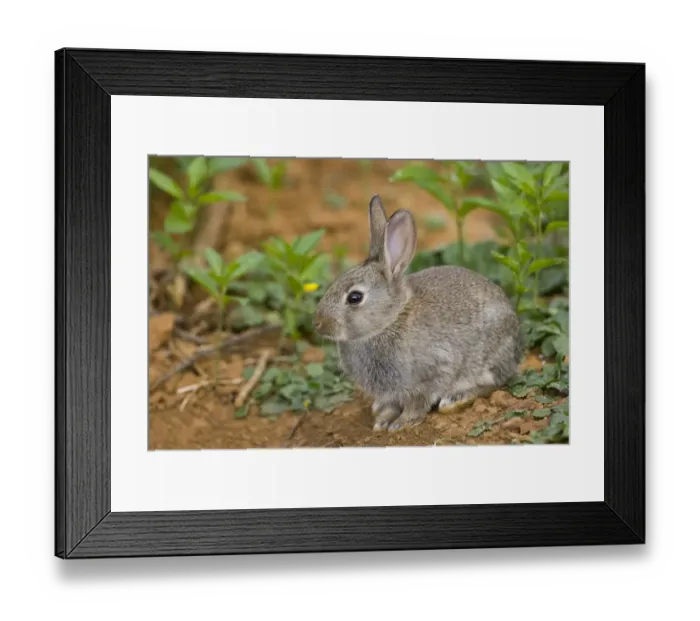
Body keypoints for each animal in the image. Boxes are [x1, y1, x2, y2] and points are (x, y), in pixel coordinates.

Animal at [313, 195, 523, 433]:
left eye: (355, 297)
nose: (318, 323)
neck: (389, 321)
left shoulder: (431, 373)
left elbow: (418, 402)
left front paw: (400, 423)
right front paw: (383, 419)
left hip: (488, 357)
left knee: (491, 382)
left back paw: (455, 399)